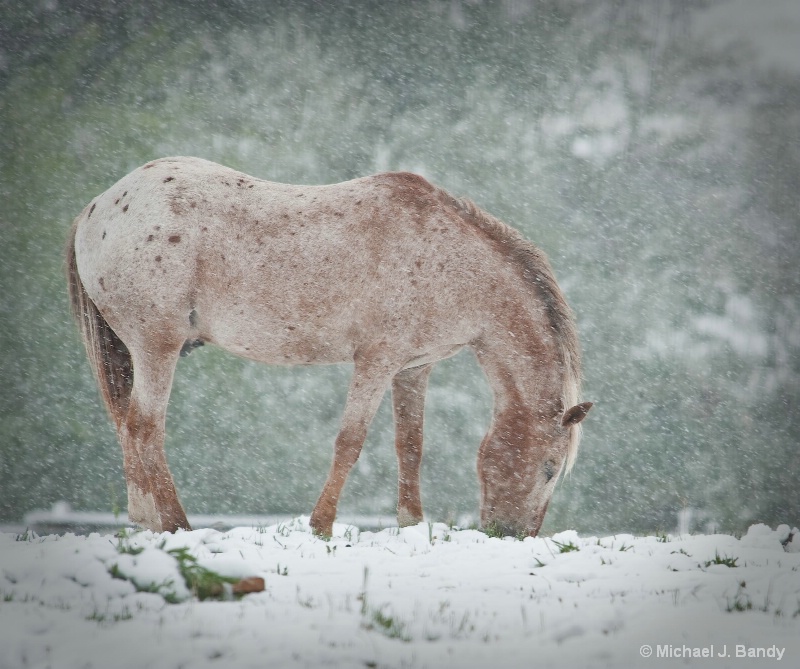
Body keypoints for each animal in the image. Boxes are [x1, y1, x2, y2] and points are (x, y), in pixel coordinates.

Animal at [67, 157, 588, 536]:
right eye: (549, 469)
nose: (513, 535)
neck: (450, 261)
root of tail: (96, 208)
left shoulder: (412, 369)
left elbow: (411, 446)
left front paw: (411, 526)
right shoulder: (376, 361)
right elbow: (349, 443)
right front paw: (321, 527)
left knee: (129, 427)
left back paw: (145, 522)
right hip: (157, 345)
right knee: (145, 429)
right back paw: (177, 526)